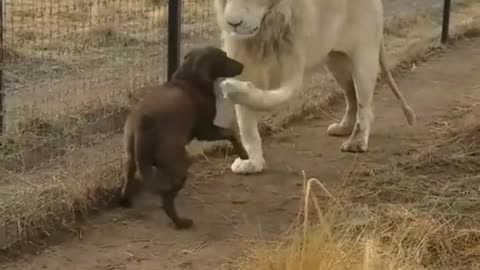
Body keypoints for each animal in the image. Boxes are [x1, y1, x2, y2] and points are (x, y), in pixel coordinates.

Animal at [119, 46, 248, 230]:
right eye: (223, 57)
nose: (242, 65)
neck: (189, 79)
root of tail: (143, 125)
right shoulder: (206, 130)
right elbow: (231, 132)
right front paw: (244, 154)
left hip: (131, 158)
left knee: (128, 180)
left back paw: (125, 201)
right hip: (179, 165)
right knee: (167, 201)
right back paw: (181, 222)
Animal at [214, 0, 416, 174]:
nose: (233, 24)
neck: (265, 31)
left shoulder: (293, 64)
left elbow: (273, 97)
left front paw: (234, 89)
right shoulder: (247, 61)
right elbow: (246, 124)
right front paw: (252, 162)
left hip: (363, 58)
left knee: (363, 105)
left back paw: (356, 142)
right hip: (336, 62)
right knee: (351, 96)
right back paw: (344, 127)